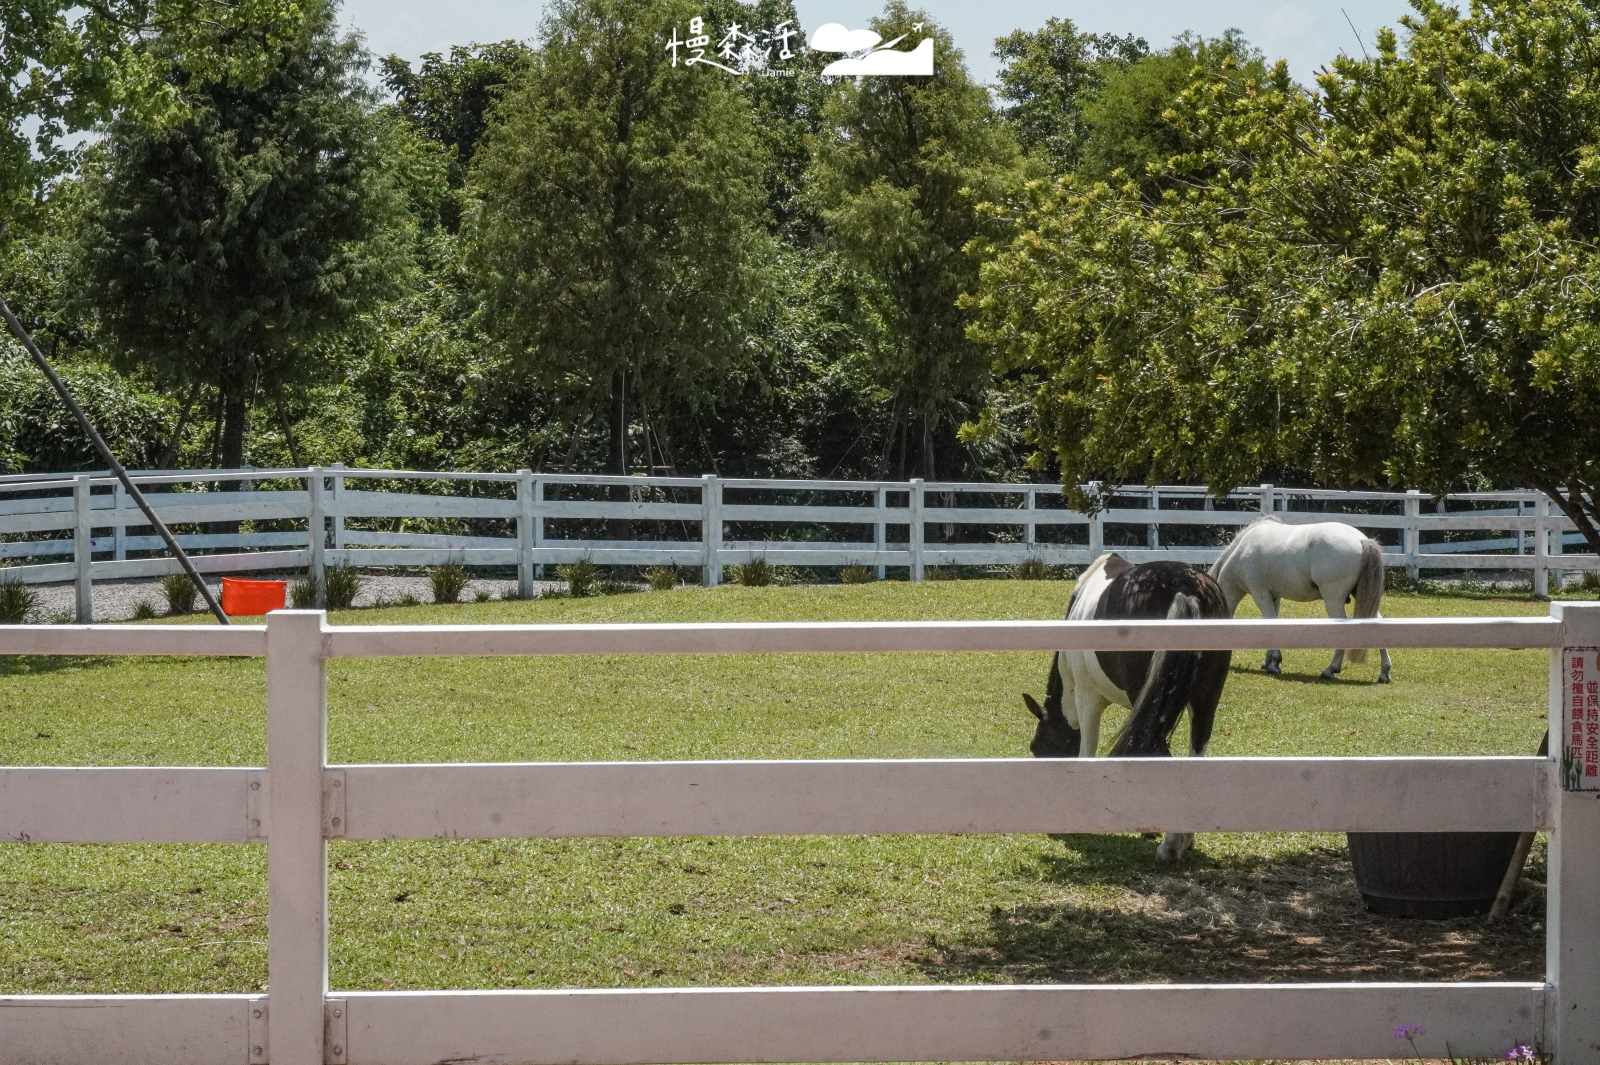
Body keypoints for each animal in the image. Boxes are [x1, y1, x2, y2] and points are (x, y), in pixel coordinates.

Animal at [1017, 556, 1228, 863]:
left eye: (1037, 748)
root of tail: (1184, 587)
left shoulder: (1087, 699)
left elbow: (1086, 753)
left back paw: (1171, 846)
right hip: (1204, 701)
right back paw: (1184, 839)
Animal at [1209, 514, 1388, 681]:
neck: (1243, 549)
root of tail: (1361, 540)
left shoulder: (1260, 593)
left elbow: (1270, 622)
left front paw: (1273, 663)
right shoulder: (1274, 596)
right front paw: (1269, 662)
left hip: (1333, 601)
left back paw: (1330, 669)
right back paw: (1384, 672)